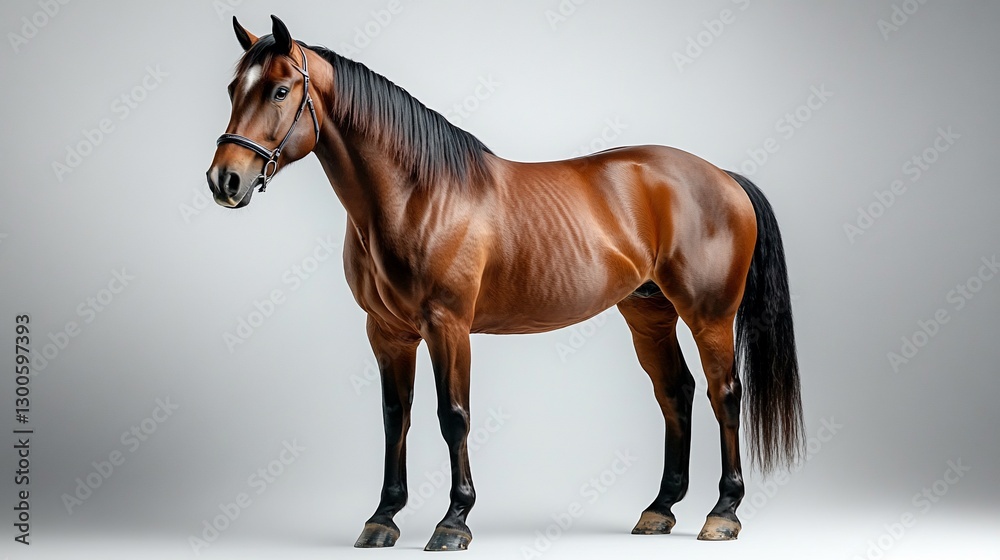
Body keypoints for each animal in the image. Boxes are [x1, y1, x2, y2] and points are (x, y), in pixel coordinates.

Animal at [207, 15, 804, 552]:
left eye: (280, 89)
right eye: (235, 88)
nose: (224, 180)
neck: (416, 195)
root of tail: (724, 178)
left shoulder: (448, 327)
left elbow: (453, 417)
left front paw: (454, 521)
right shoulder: (386, 333)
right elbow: (395, 418)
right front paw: (383, 518)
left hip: (710, 315)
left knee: (725, 394)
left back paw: (723, 512)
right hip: (648, 313)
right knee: (675, 392)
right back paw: (659, 509)